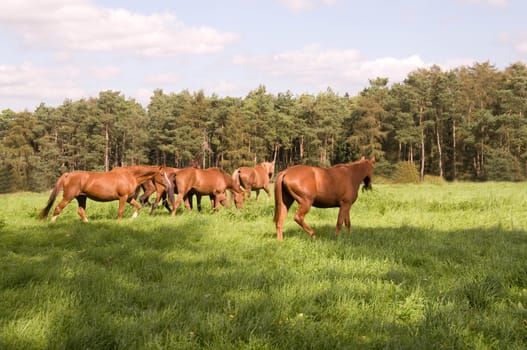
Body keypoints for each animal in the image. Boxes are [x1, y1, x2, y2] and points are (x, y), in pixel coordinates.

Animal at [39, 165, 169, 221]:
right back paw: (52, 223)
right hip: (68, 197)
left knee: (81, 211)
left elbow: (138, 206)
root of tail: (68, 175)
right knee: (57, 208)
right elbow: (120, 211)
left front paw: (133, 218)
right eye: (162, 174)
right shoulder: (123, 197)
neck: (129, 175)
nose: (168, 185)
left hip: (81, 198)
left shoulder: (128, 198)